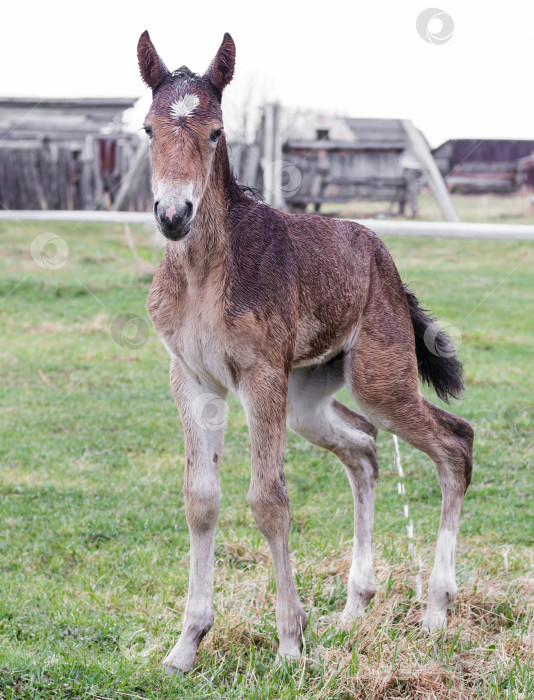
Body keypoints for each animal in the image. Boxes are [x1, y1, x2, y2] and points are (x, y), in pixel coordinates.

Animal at [137, 28, 474, 672]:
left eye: (215, 131)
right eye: (146, 128)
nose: (173, 214)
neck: (202, 274)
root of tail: (384, 259)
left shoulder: (261, 374)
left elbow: (269, 499)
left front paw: (291, 642)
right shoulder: (190, 378)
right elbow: (200, 499)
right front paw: (186, 644)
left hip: (378, 378)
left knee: (454, 444)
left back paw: (436, 611)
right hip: (307, 398)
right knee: (364, 449)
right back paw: (355, 604)